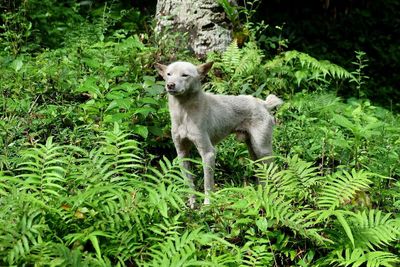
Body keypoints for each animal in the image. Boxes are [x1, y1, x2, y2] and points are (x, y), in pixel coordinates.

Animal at [155, 61, 282, 208]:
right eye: (169, 74)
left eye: (185, 75)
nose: (170, 85)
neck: (184, 113)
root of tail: (264, 104)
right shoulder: (182, 153)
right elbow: (189, 183)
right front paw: (191, 205)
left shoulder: (208, 153)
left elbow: (207, 183)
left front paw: (207, 205)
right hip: (253, 150)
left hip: (262, 149)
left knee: (273, 171)